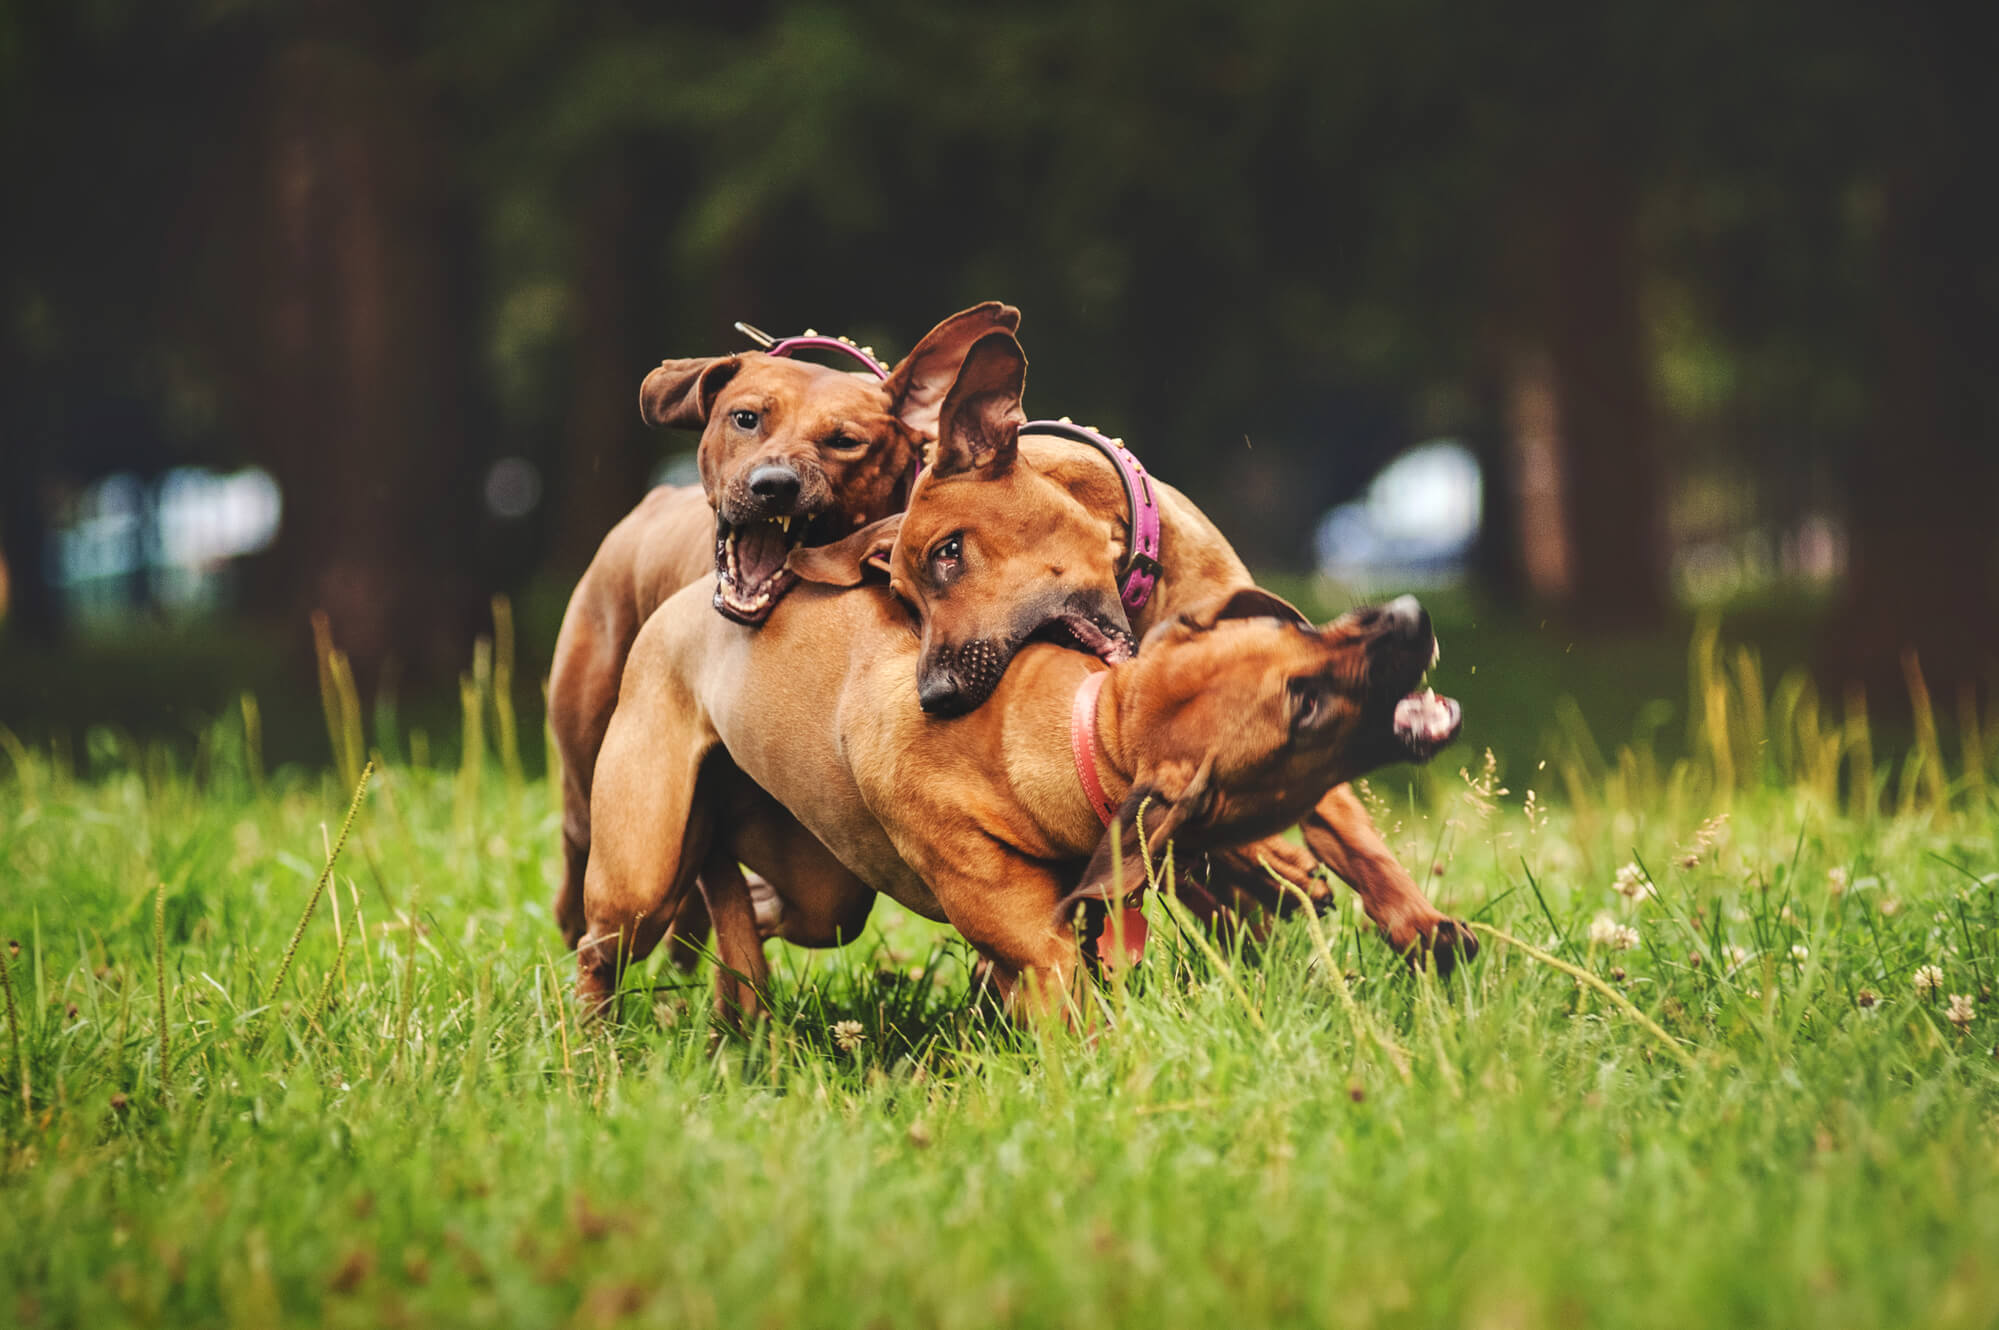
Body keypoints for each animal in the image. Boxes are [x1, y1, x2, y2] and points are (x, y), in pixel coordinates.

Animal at [547, 304, 1015, 944]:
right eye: (746, 418)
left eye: (844, 441)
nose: (774, 484)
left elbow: (809, 905)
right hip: (586, 752)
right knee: (580, 857)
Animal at [583, 564, 1463, 1020]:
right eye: (1302, 707)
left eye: (1297, 630)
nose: (1413, 614)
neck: (1091, 737)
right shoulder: (1044, 961)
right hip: (636, 879)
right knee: (603, 951)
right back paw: (597, 1052)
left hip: (824, 894)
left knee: (759, 909)